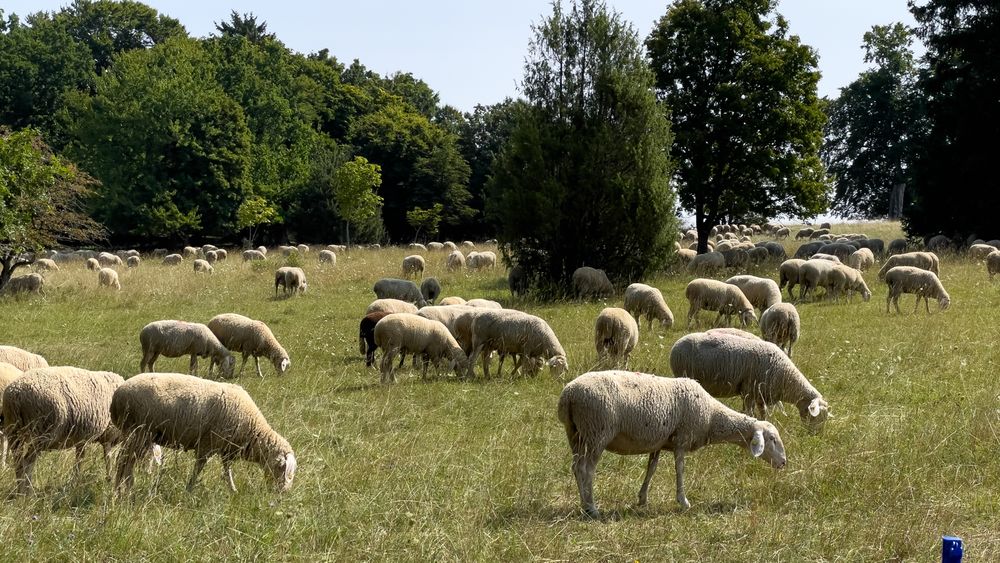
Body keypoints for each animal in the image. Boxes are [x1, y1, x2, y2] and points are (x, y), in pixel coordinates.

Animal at [111, 372, 295, 493]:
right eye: (282, 468)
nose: (283, 494)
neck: (253, 430)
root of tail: (118, 395)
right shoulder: (208, 443)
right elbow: (199, 467)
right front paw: (190, 488)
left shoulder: (226, 448)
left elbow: (227, 470)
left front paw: (232, 490)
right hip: (139, 432)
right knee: (124, 460)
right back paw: (124, 490)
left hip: (137, 434)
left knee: (126, 460)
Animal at [557, 371, 786, 515]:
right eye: (772, 439)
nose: (784, 462)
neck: (711, 416)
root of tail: (568, 395)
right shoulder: (682, 439)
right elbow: (680, 470)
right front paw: (683, 501)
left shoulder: (658, 442)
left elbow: (651, 469)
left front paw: (642, 498)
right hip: (597, 432)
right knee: (586, 469)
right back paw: (591, 507)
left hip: (576, 435)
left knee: (576, 467)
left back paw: (584, 503)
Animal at [670, 331, 830, 430]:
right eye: (816, 416)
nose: (814, 435)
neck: (786, 377)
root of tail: (676, 345)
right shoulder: (748, 390)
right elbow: (750, 412)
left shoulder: (760, 394)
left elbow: (763, 413)